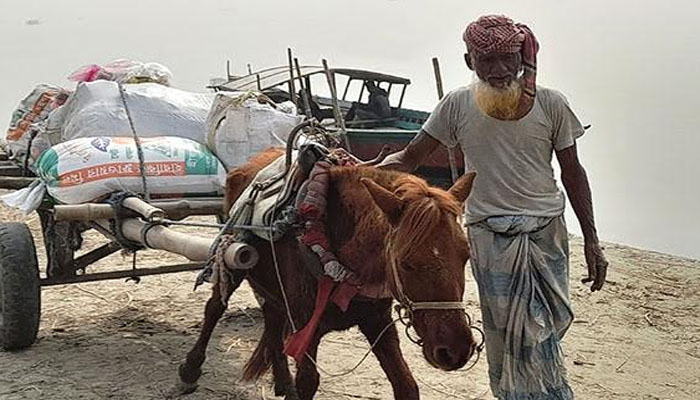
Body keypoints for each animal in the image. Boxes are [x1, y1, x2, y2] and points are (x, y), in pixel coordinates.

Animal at [178, 148, 478, 400]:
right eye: (406, 263)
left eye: (466, 256)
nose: (454, 350)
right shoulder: (305, 328)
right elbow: (308, 382)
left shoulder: (378, 322)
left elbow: (406, 384)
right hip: (235, 262)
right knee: (215, 307)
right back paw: (190, 369)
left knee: (272, 320)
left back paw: (282, 381)